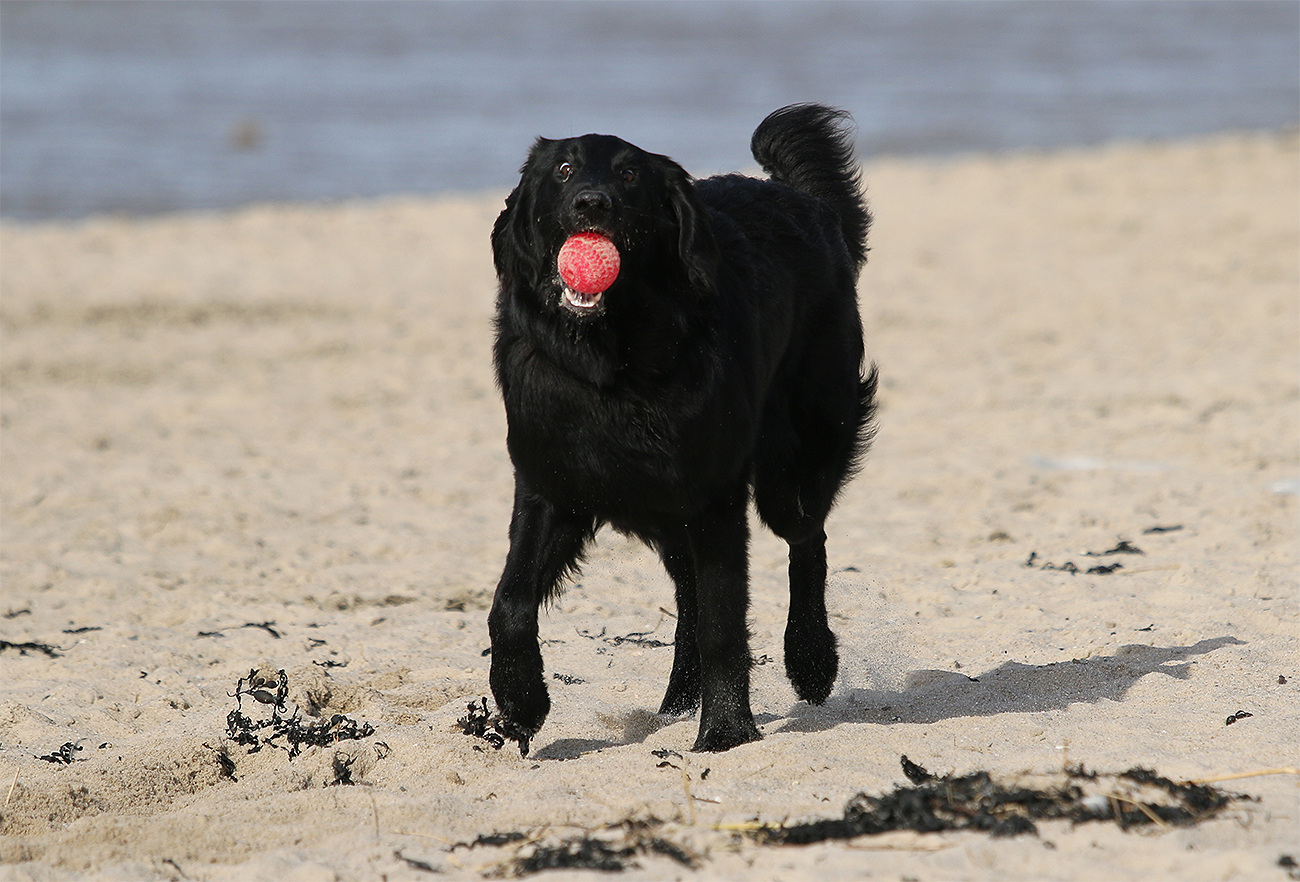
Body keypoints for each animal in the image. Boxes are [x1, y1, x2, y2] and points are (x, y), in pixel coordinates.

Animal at [488, 104, 877, 754]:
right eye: (564, 169)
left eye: (629, 176)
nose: (591, 204)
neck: (611, 366)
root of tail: (801, 199)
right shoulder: (549, 485)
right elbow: (510, 602)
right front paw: (519, 701)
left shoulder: (714, 495)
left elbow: (724, 620)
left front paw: (725, 731)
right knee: (690, 593)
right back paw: (676, 702)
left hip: (796, 460)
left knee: (807, 543)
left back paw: (811, 660)